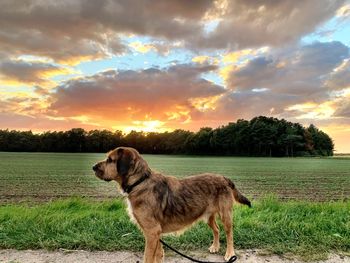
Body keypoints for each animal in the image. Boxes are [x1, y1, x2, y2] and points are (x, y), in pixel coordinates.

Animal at [92, 147, 252, 263]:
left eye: (110, 160)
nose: (93, 167)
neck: (140, 181)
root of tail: (224, 178)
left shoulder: (152, 232)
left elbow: (148, 257)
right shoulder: (155, 234)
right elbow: (158, 255)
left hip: (226, 215)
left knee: (229, 233)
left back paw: (229, 253)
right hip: (208, 215)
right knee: (216, 229)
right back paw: (215, 246)